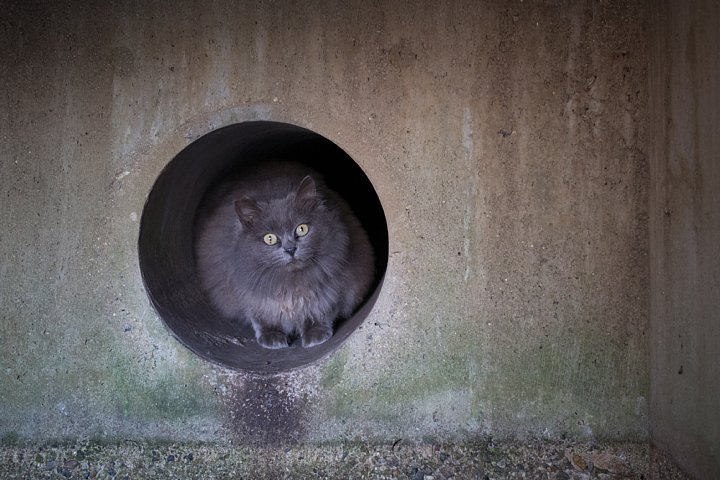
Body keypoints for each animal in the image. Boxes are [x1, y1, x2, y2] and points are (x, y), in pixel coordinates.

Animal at [191, 161, 376, 348]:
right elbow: (261, 317)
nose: (290, 249)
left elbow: (322, 311)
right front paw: (272, 338)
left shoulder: (337, 288)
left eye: (302, 229)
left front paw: (315, 335)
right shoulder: (249, 295)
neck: (291, 284)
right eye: (270, 238)